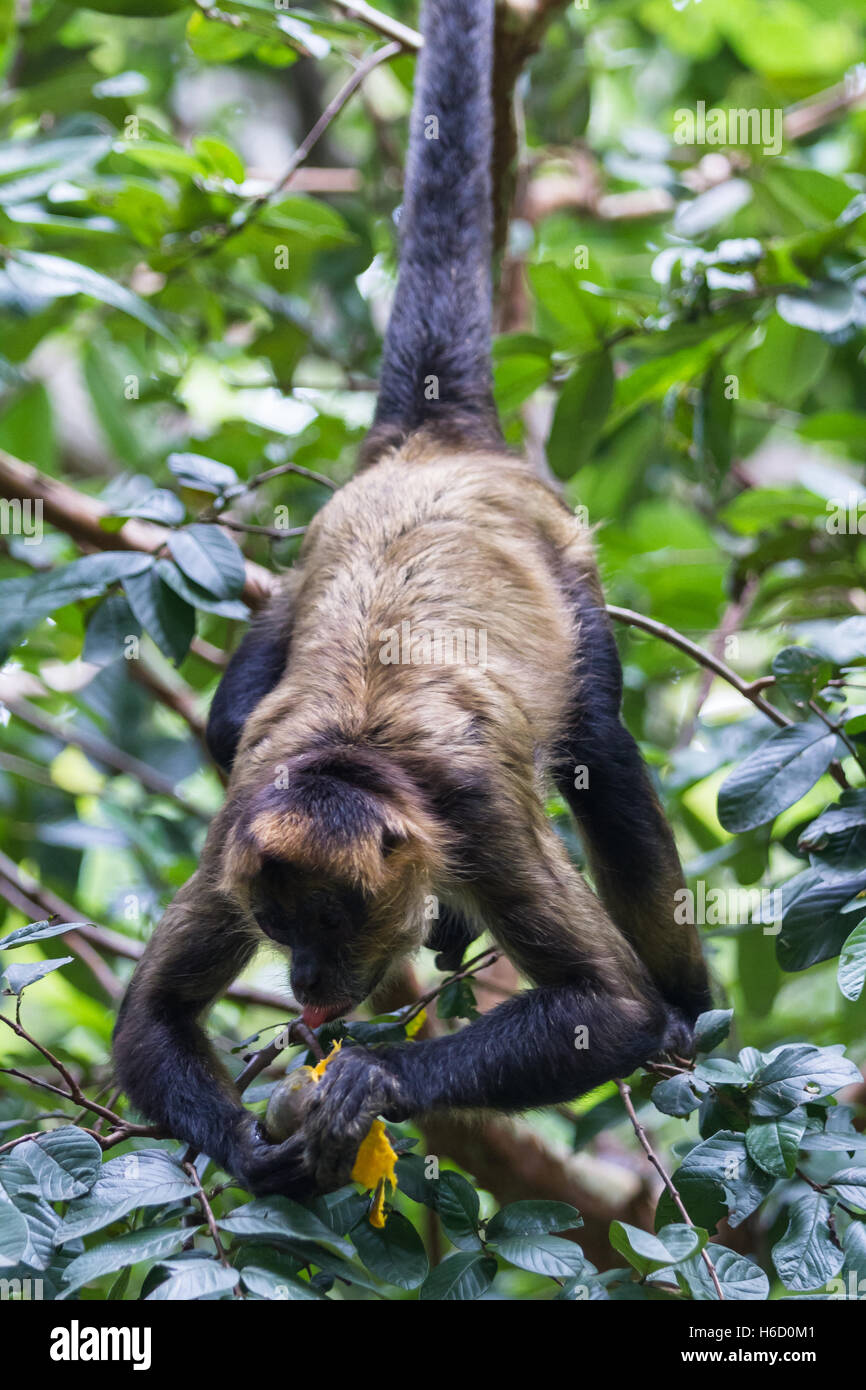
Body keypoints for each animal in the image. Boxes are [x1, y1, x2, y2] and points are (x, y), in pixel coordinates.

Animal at [113, 0, 711, 1199]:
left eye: (333, 926)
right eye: (275, 924)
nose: (304, 982)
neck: (358, 753)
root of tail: (437, 441)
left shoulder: (474, 807)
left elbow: (611, 1012)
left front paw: (376, 1085)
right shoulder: (243, 820)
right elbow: (151, 1014)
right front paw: (258, 1151)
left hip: (566, 559)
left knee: (599, 746)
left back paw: (690, 1012)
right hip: (303, 575)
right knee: (226, 717)